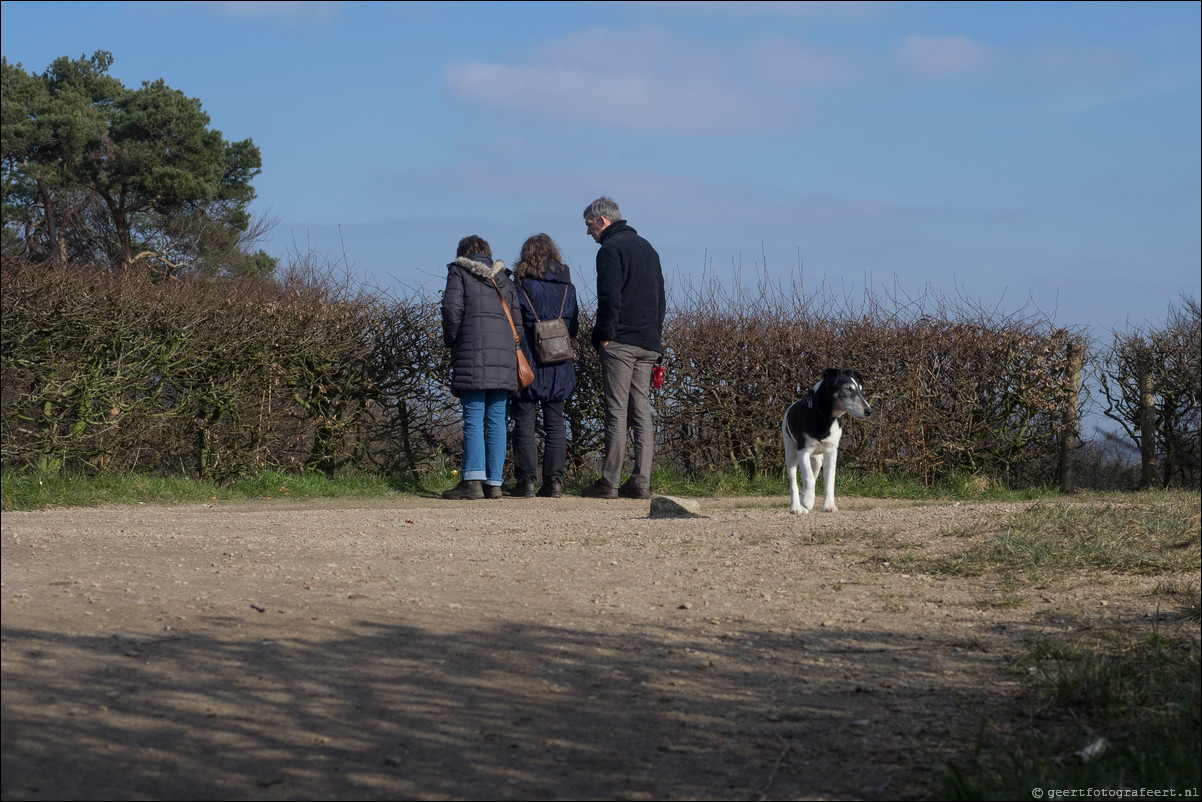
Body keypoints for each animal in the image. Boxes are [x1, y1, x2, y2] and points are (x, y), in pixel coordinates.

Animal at [783, 370, 870, 514]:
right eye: (847, 388)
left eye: (861, 390)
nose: (869, 411)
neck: (825, 419)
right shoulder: (803, 451)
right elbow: (808, 477)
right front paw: (807, 499)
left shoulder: (831, 452)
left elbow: (829, 481)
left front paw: (828, 506)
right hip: (790, 453)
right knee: (794, 482)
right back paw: (796, 507)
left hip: (817, 460)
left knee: (813, 473)